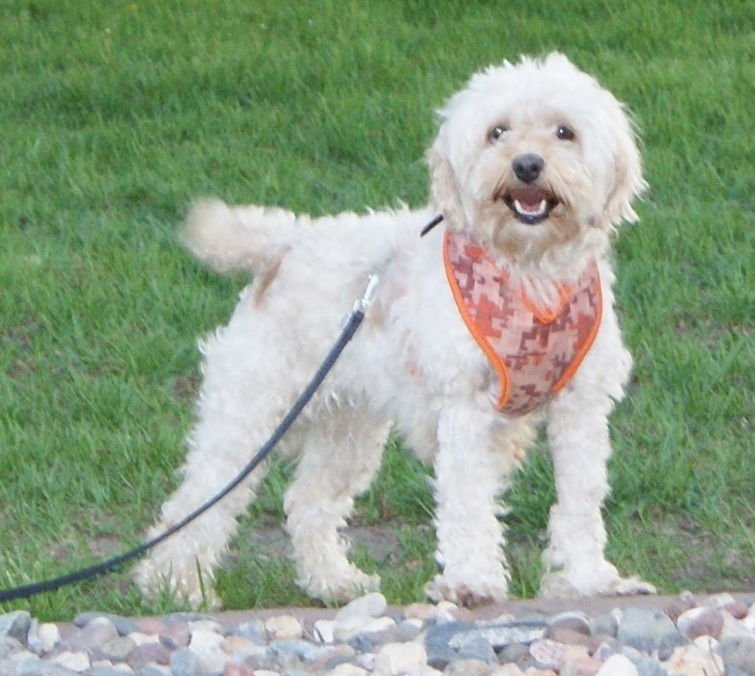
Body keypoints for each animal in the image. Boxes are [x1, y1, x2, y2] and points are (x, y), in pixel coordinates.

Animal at [136, 52, 656, 608]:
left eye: (565, 131)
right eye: (497, 131)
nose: (527, 165)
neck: (528, 277)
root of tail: (286, 241)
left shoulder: (580, 407)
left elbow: (580, 500)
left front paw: (590, 580)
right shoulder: (464, 409)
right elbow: (467, 502)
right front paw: (471, 582)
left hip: (349, 427)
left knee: (307, 500)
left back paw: (333, 582)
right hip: (250, 412)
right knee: (199, 501)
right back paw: (174, 585)